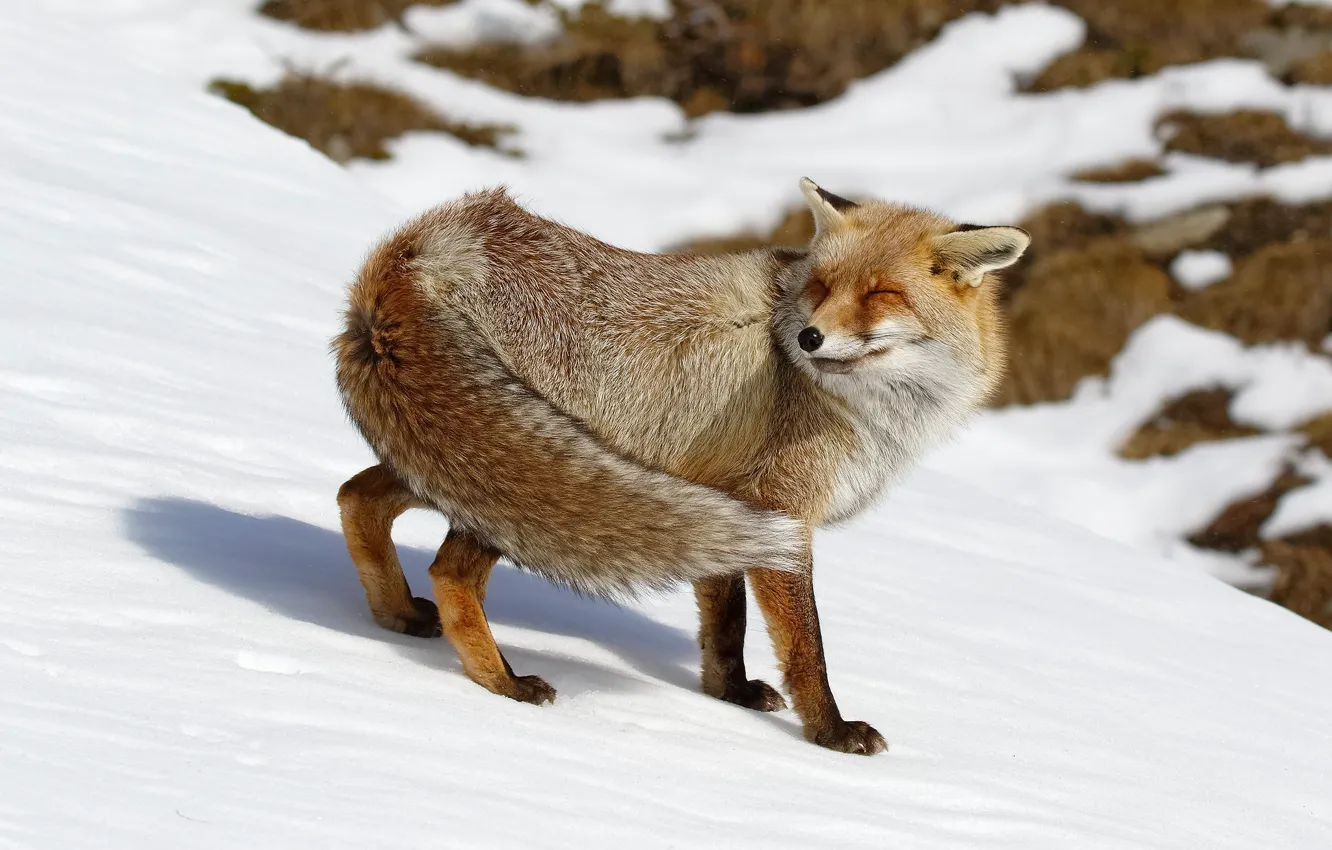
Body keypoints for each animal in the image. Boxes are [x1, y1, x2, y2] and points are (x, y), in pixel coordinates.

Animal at [332, 178, 1028, 755]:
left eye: (881, 294)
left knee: (355, 496)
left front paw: (730, 695)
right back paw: (503, 683)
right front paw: (829, 733)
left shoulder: (726, 501)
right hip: (524, 485)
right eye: (821, 288)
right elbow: (807, 650)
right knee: (450, 573)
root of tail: (432, 242)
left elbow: (725, 627)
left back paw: (398, 616)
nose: (809, 337)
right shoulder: (781, 513)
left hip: (474, 458)